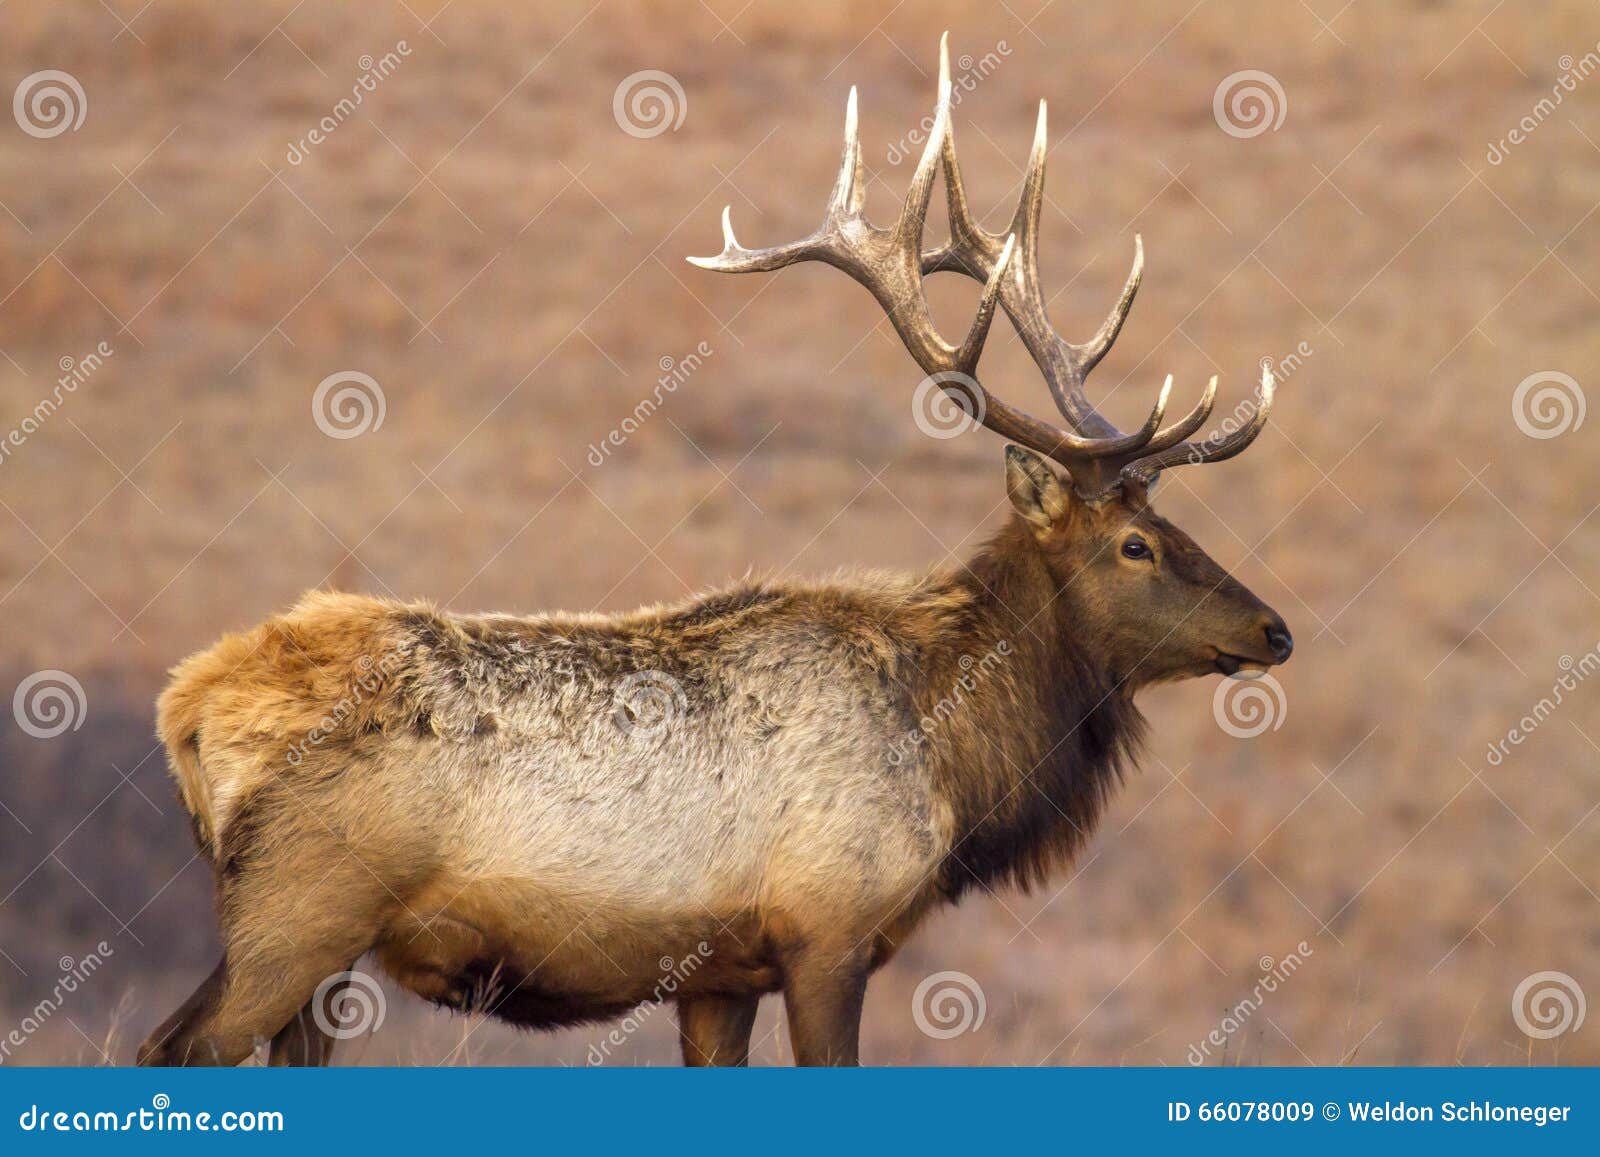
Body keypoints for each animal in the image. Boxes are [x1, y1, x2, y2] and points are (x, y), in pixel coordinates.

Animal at [137, 35, 1290, 1069]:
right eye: (1137, 543)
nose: (1273, 629)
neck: (952, 756)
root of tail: (185, 703)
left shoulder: (718, 971)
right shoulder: (827, 929)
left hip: (311, 943)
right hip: (299, 907)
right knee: (175, 1046)